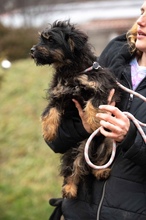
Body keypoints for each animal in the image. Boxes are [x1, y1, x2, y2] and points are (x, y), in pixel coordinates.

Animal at [30, 20, 120, 199]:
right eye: (41, 39)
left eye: (51, 40)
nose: (32, 50)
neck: (70, 71)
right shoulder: (58, 95)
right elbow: (49, 112)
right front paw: (48, 132)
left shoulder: (102, 87)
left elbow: (94, 103)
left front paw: (92, 121)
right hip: (78, 149)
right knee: (74, 168)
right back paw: (69, 188)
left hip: (107, 142)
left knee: (96, 162)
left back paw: (101, 172)